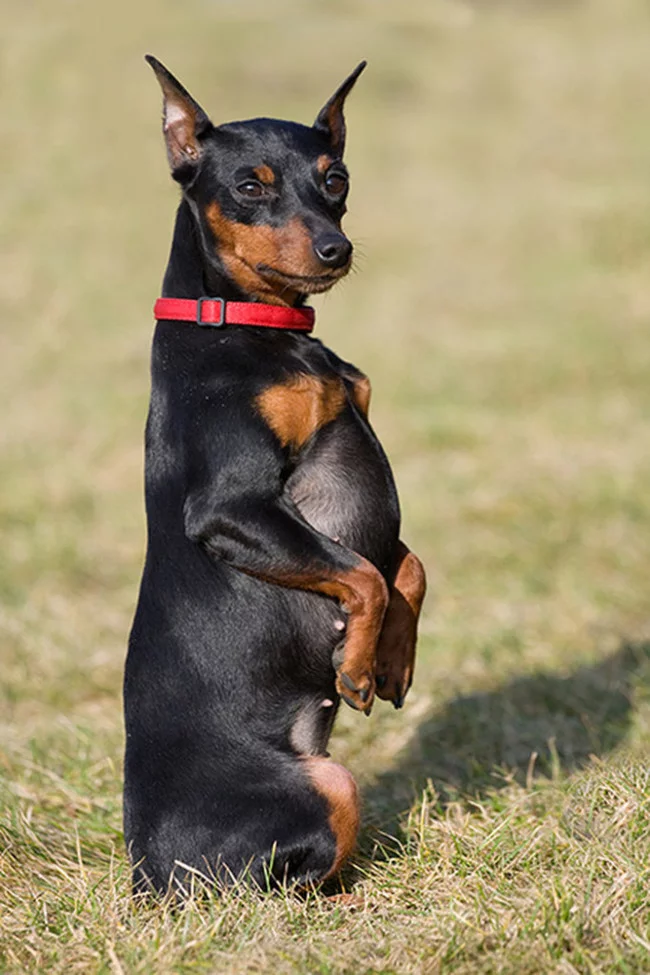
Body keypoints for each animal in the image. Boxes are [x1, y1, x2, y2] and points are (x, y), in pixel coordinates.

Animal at [122, 57, 428, 896]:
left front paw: (393, 659)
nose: (335, 248)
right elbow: (365, 574)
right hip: (331, 783)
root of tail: (149, 875)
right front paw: (355, 666)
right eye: (250, 187)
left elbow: (406, 567)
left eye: (337, 178)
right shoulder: (232, 507)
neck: (250, 327)